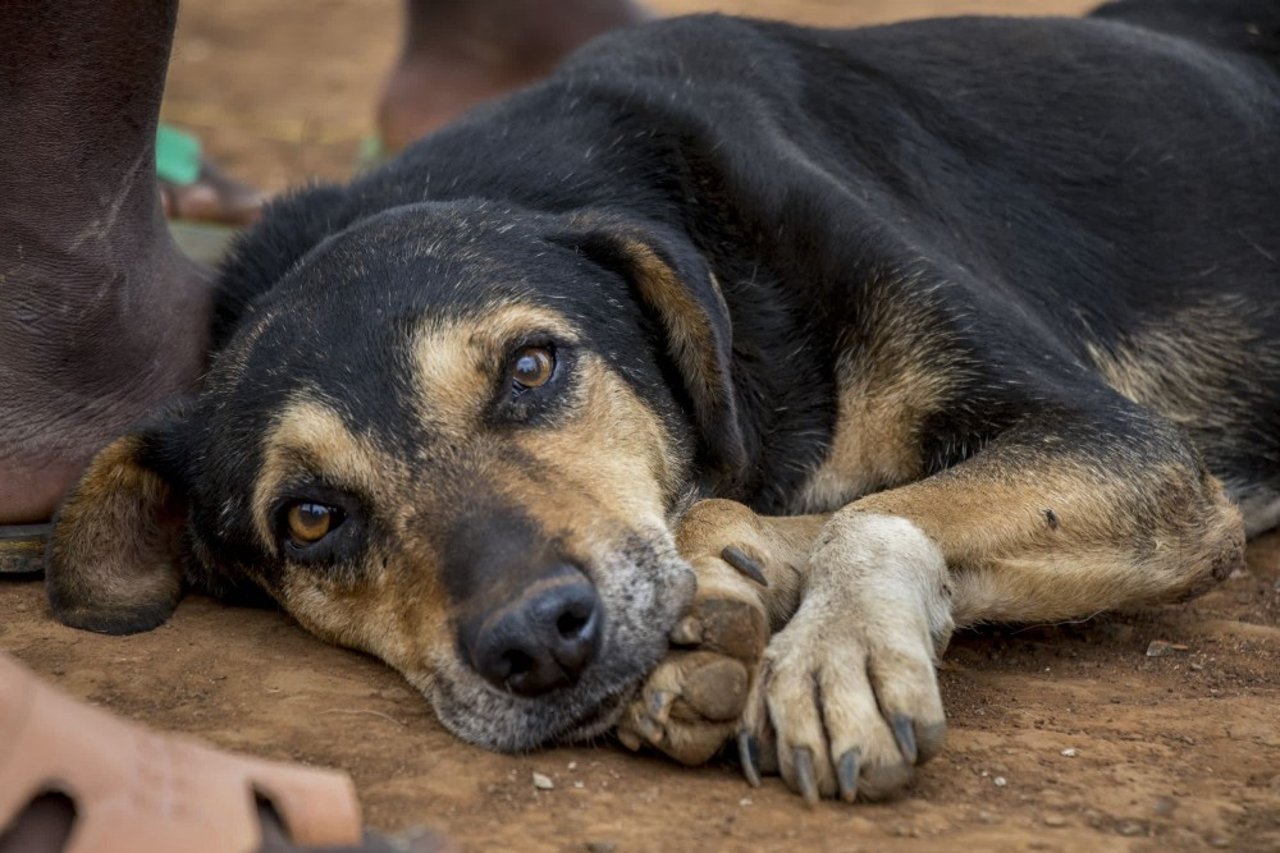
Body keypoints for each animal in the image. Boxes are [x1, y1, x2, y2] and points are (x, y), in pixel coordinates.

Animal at [45, 0, 1274, 799]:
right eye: (310, 518)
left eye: (531, 368)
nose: (538, 644)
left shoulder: (1125, 449)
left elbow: (875, 509)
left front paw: (826, 642)